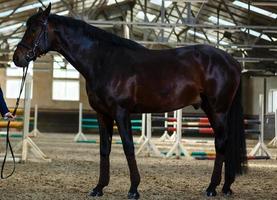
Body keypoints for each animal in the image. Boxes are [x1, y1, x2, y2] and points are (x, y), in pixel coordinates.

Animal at [12, 3, 246, 199]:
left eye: (34, 29)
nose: (17, 58)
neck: (103, 60)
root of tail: (232, 61)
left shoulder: (121, 112)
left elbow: (128, 147)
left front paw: (134, 189)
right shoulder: (102, 114)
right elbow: (104, 149)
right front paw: (99, 188)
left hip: (218, 110)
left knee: (221, 143)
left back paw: (212, 188)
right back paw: (225, 186)